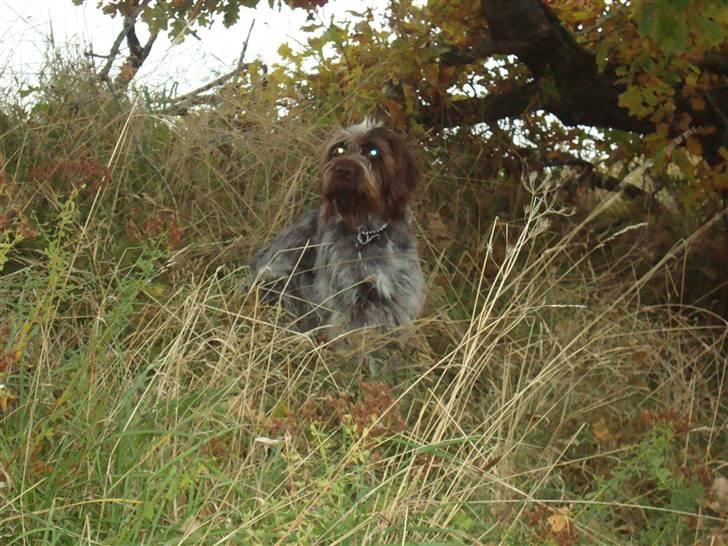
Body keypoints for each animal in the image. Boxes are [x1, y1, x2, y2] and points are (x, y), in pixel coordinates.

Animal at [249, 118, 424, 336]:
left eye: (373, 151)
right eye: (338, 150)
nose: (343, 170)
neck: (366, 233)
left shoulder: (397, 297)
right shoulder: (344, 296)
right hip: (278, 281)